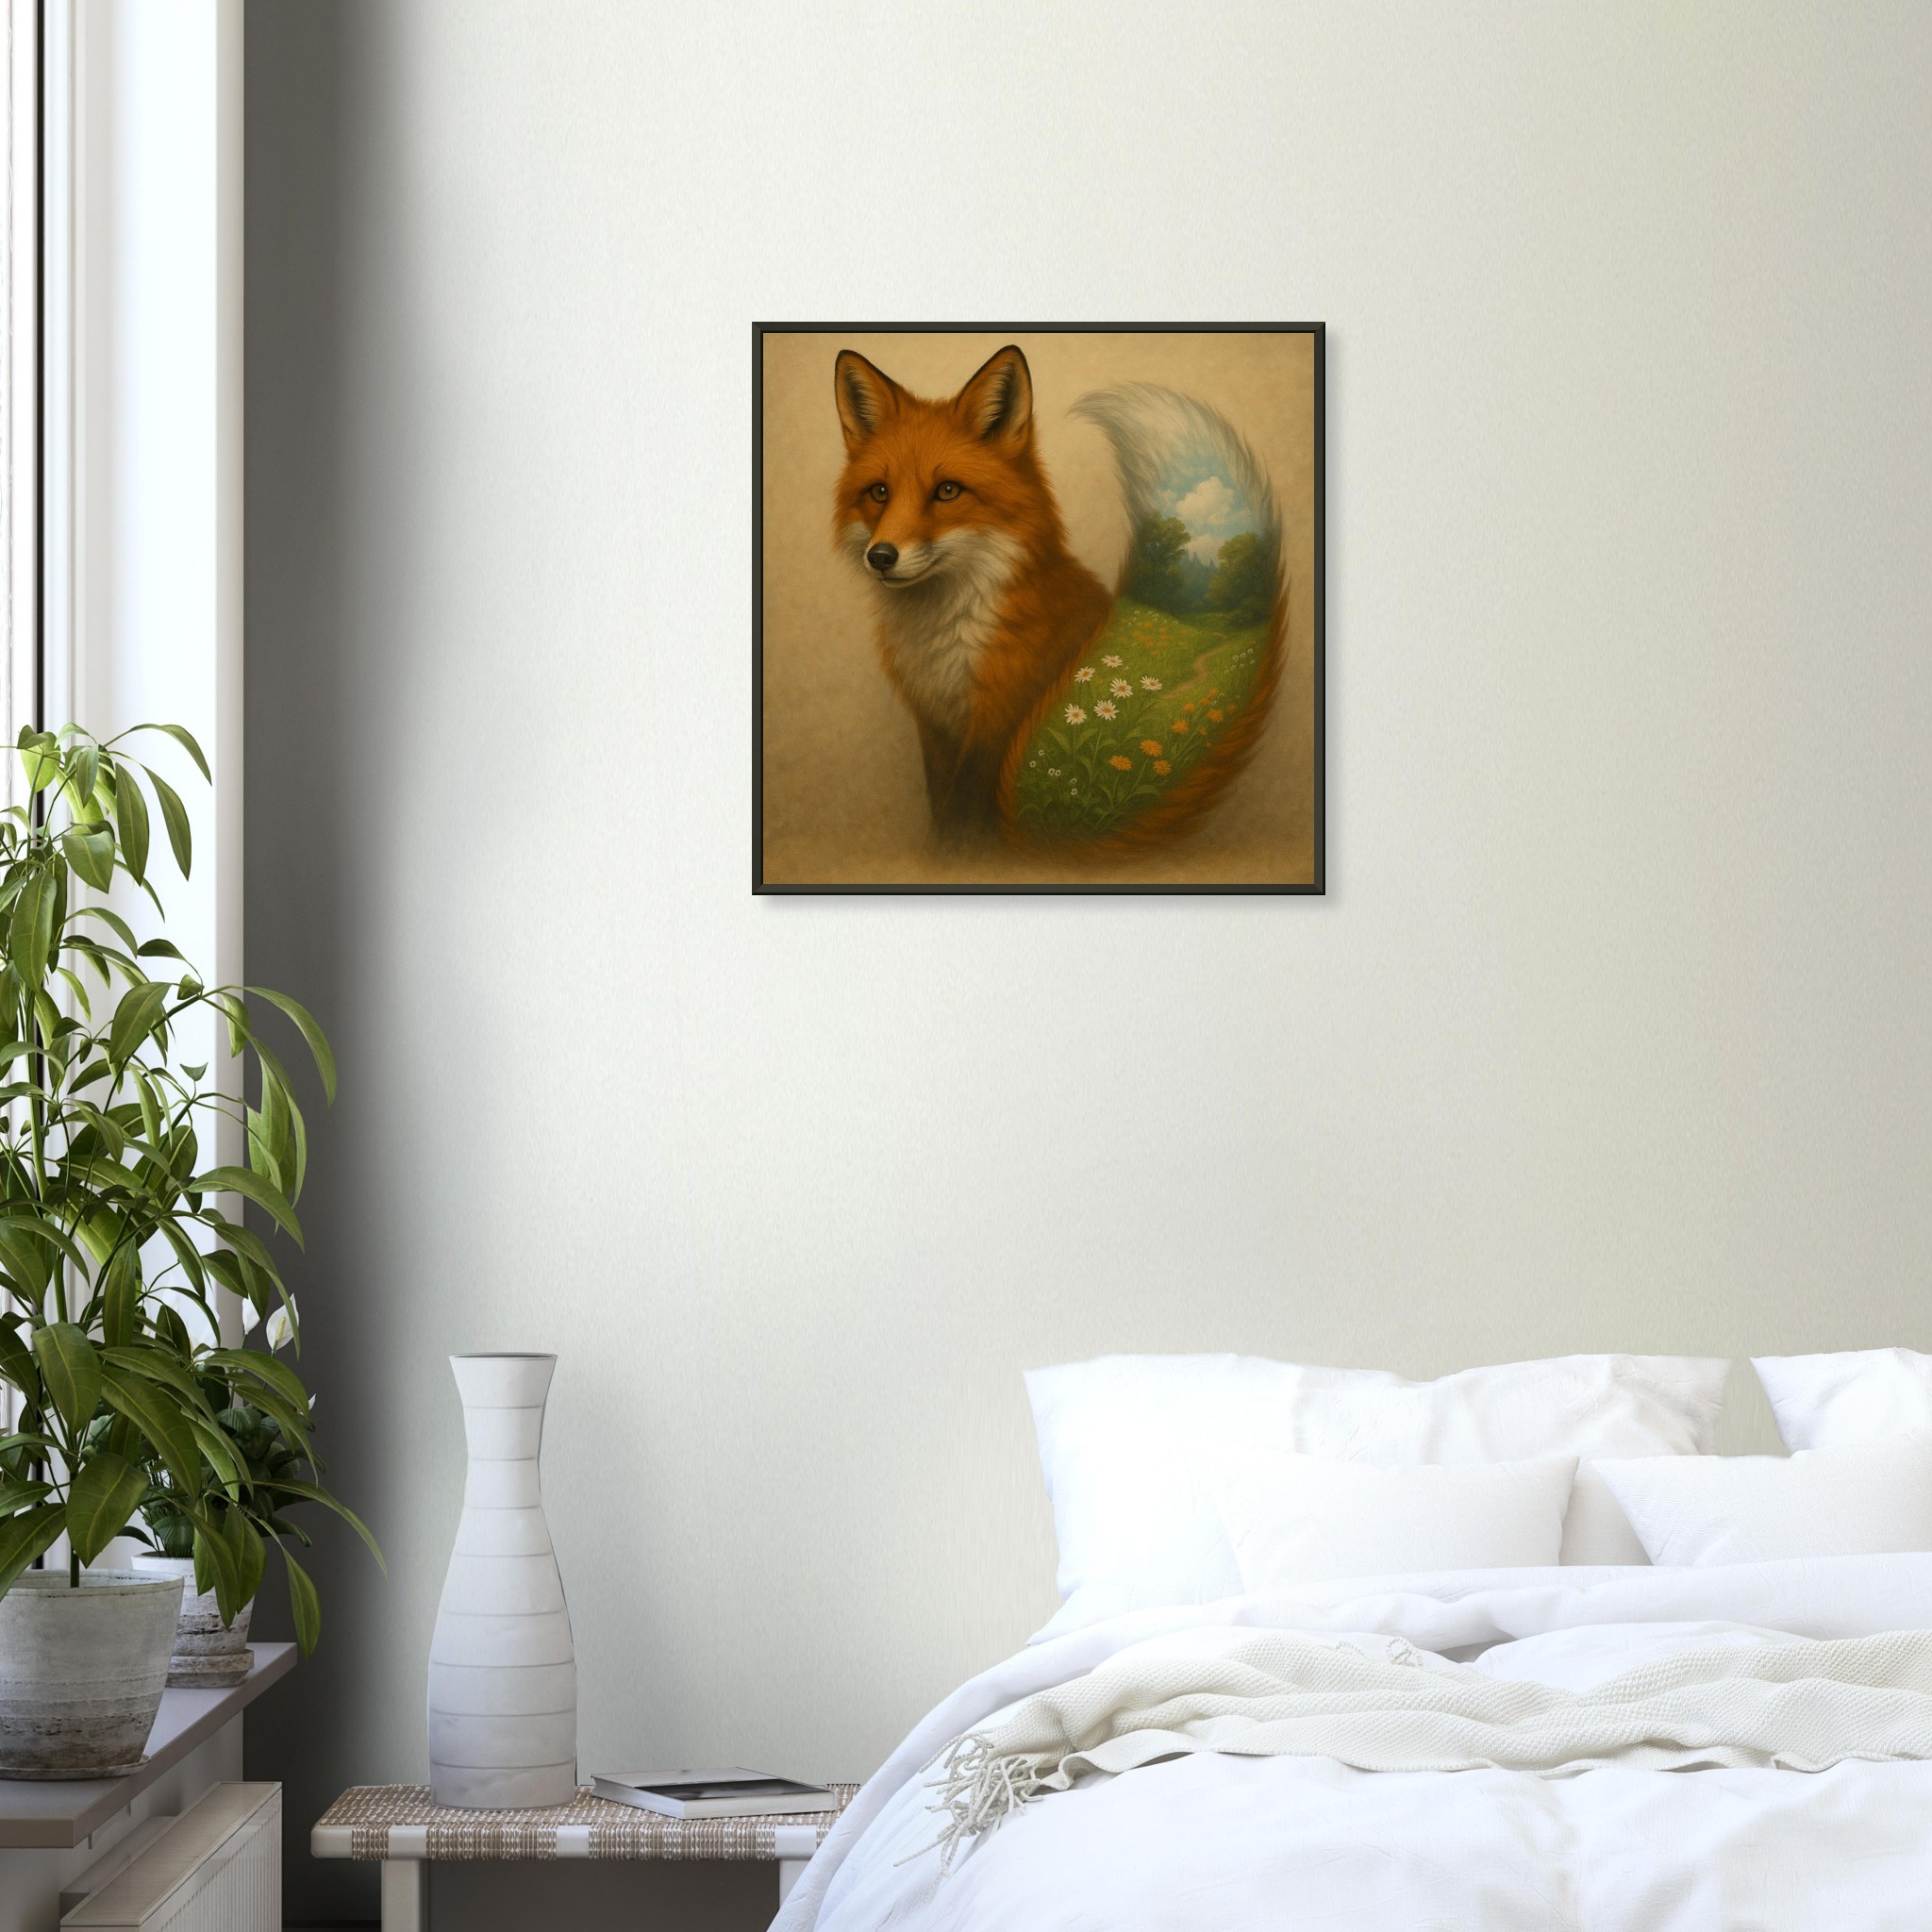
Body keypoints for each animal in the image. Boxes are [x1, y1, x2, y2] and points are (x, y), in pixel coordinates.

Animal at [832, 343, 1286, 851]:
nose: (880, 556)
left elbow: (965, 819)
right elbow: (944, 812)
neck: (947, 641)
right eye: (879, 492)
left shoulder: (995, 726)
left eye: (947, 491)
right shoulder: (936, 729)